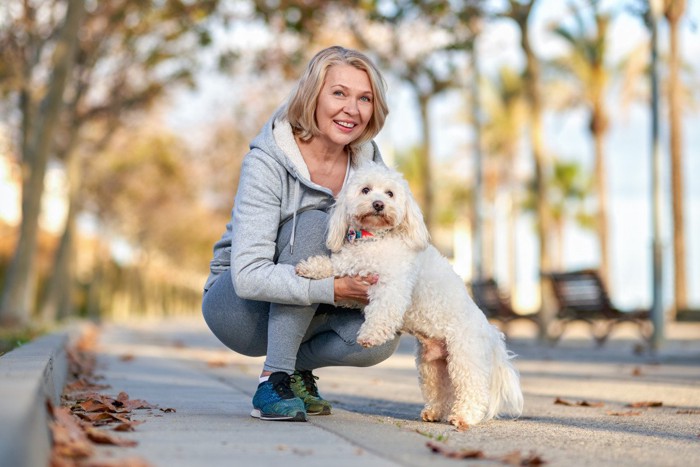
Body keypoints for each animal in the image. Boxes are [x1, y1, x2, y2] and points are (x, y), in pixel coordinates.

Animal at [296, 163, 524, 430]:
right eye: (365, 190)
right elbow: (334, 268)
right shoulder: (353, 276)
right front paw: (310, 268)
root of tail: (490, 331)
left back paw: (464, 417)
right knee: (440, 389)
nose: (378, 204)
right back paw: (434, 412)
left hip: (465, 357)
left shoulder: (393, 287)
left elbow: (382, 311)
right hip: (432, 365)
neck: (374, 238)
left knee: (472, 388)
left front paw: (370, 335)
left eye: (390, 193)